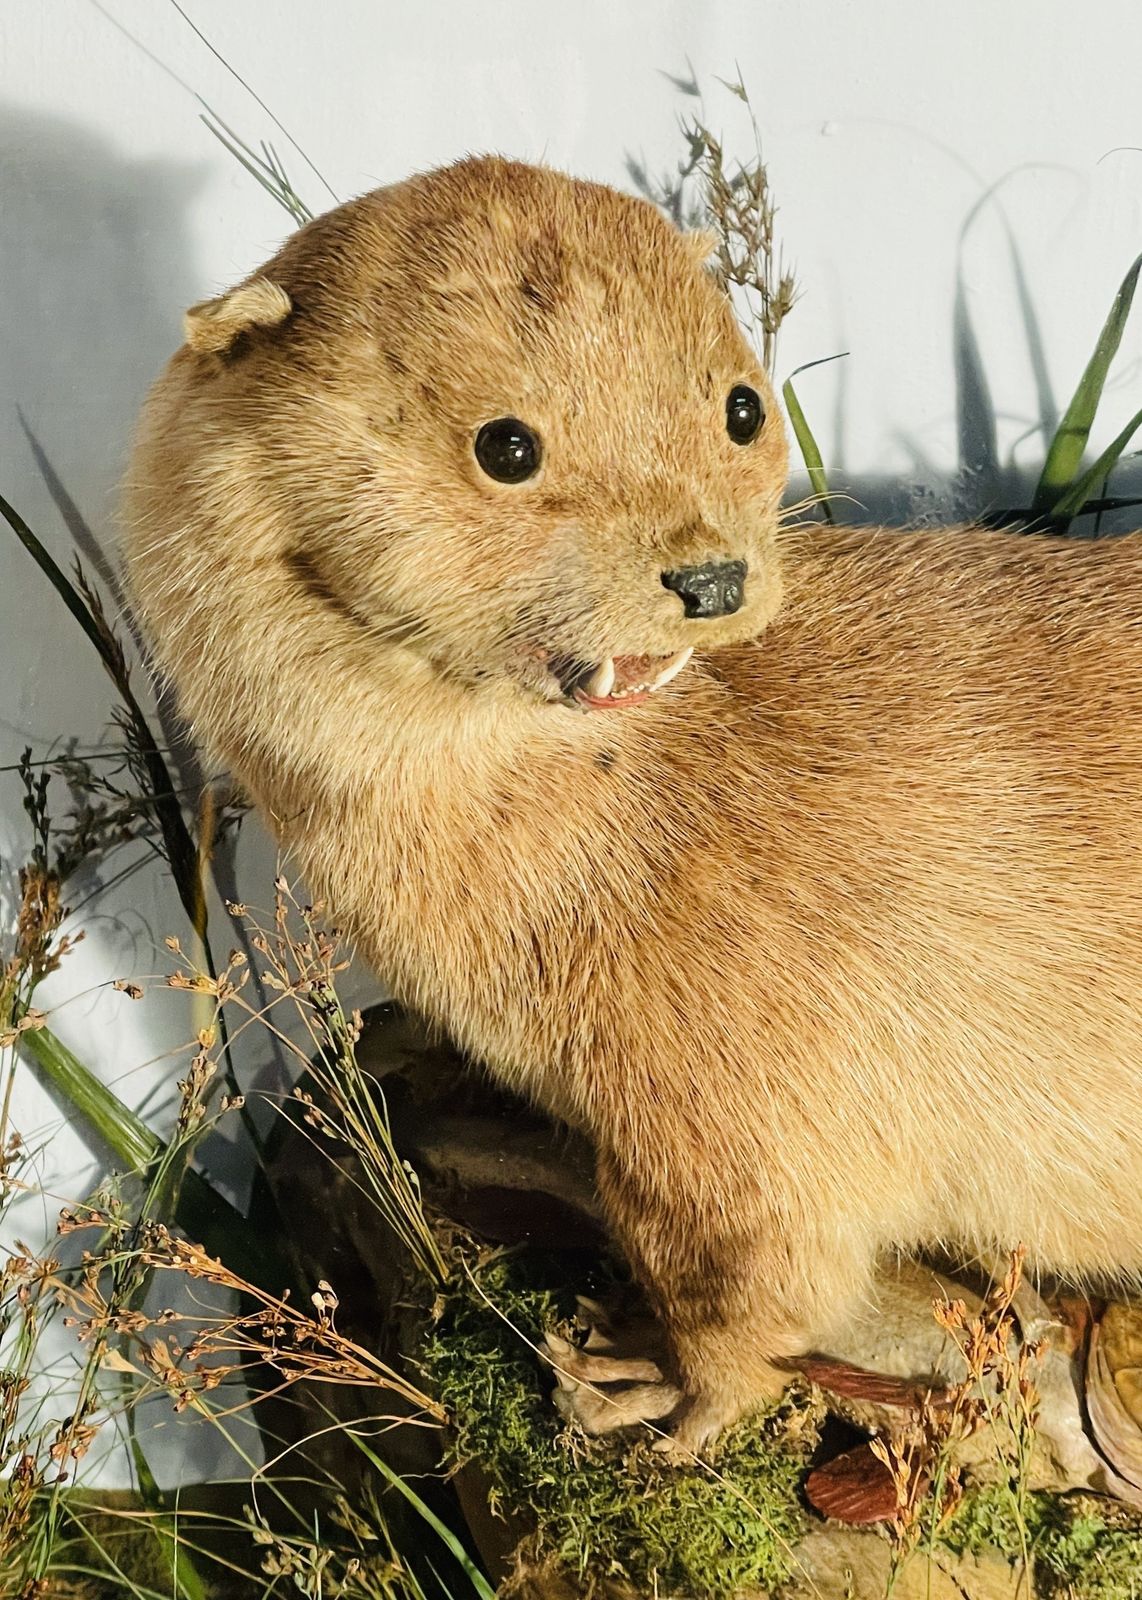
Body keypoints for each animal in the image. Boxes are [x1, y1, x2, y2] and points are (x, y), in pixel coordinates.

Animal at [121, 156, 1142, 1454]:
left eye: (741, 407)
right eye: (505, 445)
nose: (708, 577)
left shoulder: (745, 1129)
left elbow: (750, 1300)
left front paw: (648, 1390)